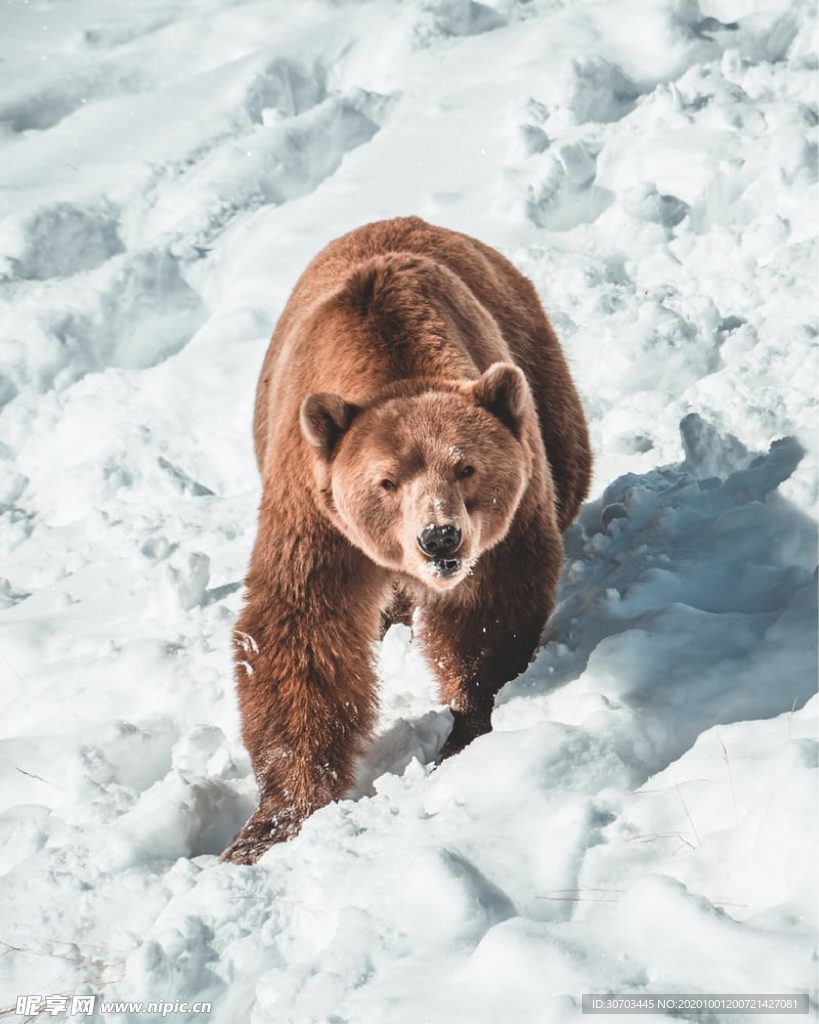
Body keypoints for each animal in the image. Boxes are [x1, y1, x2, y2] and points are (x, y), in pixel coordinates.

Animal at [220, 216, 591, 864]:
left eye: (466, 467)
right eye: (386, 481)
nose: (439, 539)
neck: (393, 367)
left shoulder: (504, 524)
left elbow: (487, 615)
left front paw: (466, 724)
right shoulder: (318, 515)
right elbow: (298, 634)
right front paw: (271, 822)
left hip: (537, 378)